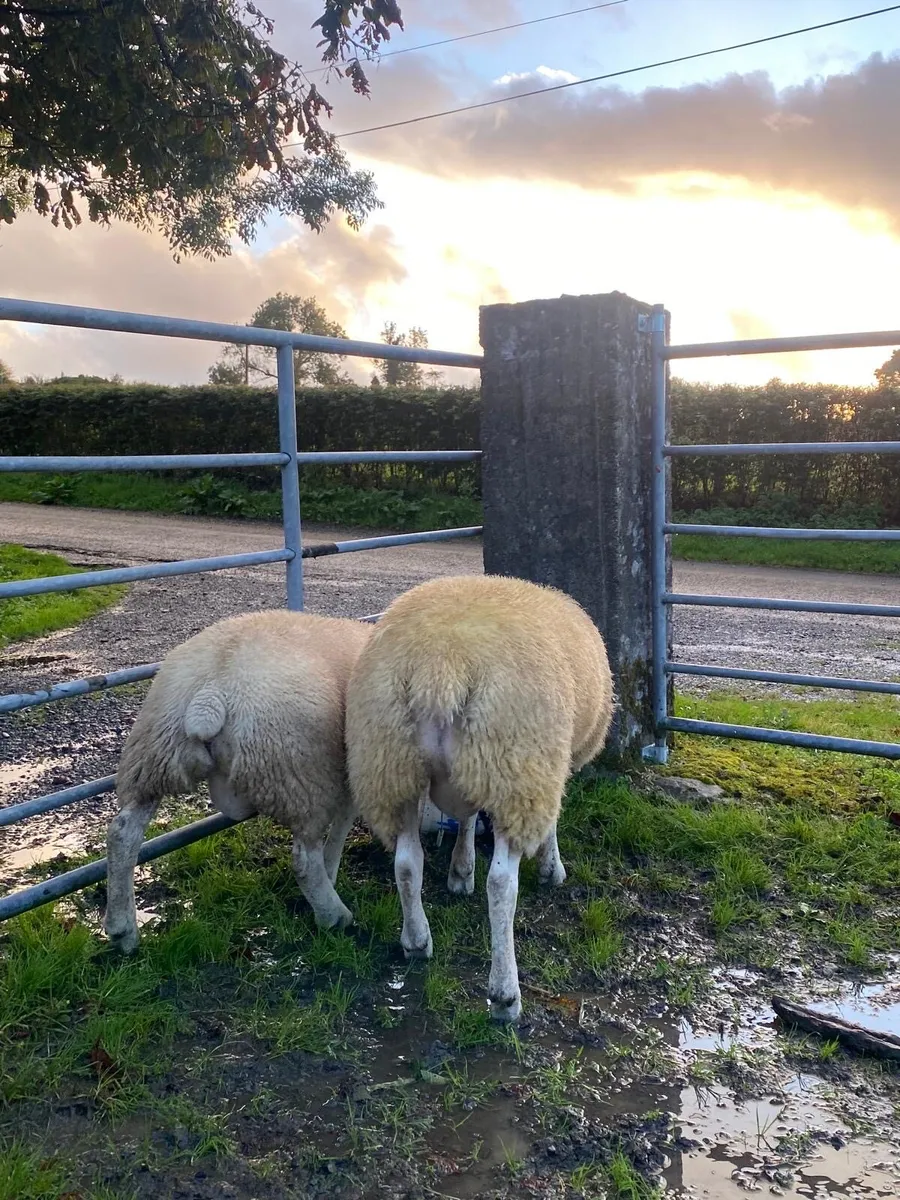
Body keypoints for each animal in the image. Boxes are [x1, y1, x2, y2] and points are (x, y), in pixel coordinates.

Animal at [103, 609, 372, 954]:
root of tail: (214, 686)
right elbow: (340, 829)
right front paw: (332, 869)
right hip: (301, 774)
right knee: (303, 858)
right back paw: (334, 915)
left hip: (152, 759)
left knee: (123, 835)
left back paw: (122, 930)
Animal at [344, 574, 614, 1022]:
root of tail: (441, 665)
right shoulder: (544, 768)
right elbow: (549, 824)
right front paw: (551, 867)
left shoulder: (473, 770)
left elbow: (467, 818)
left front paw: (460, 870)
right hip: (514, 764)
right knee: (502, 884)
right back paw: (505, 994)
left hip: (390, 764)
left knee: (407, 863)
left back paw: (417, 942)